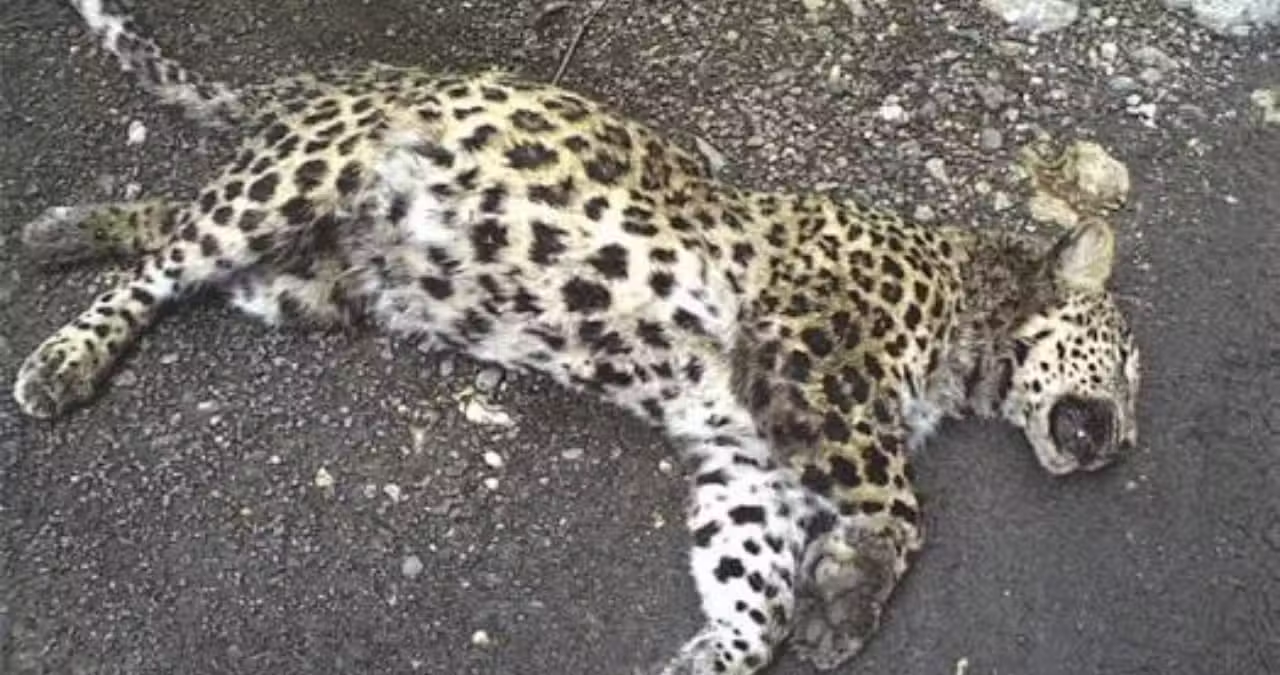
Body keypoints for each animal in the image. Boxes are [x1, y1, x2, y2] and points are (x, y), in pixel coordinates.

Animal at [11, 1, 1143, 674]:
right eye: (1130, 365)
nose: (1123, 442)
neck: (965, 314)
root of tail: (317, 84)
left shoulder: (749, 456)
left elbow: (753, 583)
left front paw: (722, 652)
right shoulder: (813, 352)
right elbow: (902, 506)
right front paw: (846, 604)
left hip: (307, 278)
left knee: (170, 222)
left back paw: (60, 229)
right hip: (299, 180)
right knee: (165, 263)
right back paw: (61, 358)